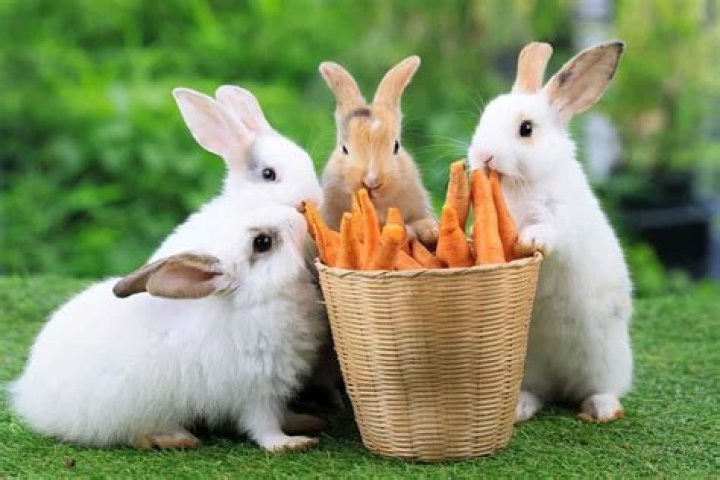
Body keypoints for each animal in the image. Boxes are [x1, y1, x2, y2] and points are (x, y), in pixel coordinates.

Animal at [10, 206, 327, 452]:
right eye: (262, 242)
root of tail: (29, 396)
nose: (298, 213)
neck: (255, 300)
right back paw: (175, 438)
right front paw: (290, 443)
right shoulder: (256, 390)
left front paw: (305, 421)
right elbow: (264, 426)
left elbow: (283, 413)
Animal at [467, 41, 633, 423]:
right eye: (484, 118)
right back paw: (520, 408)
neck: (520, 184)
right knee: (539, 394)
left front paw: (529, 239)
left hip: (608, 363)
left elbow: (550, 230)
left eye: (526, 129)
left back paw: (601, 410)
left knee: (602, 389)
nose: (483, 156)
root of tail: (562, 384)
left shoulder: (562, 218)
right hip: (530, 368)